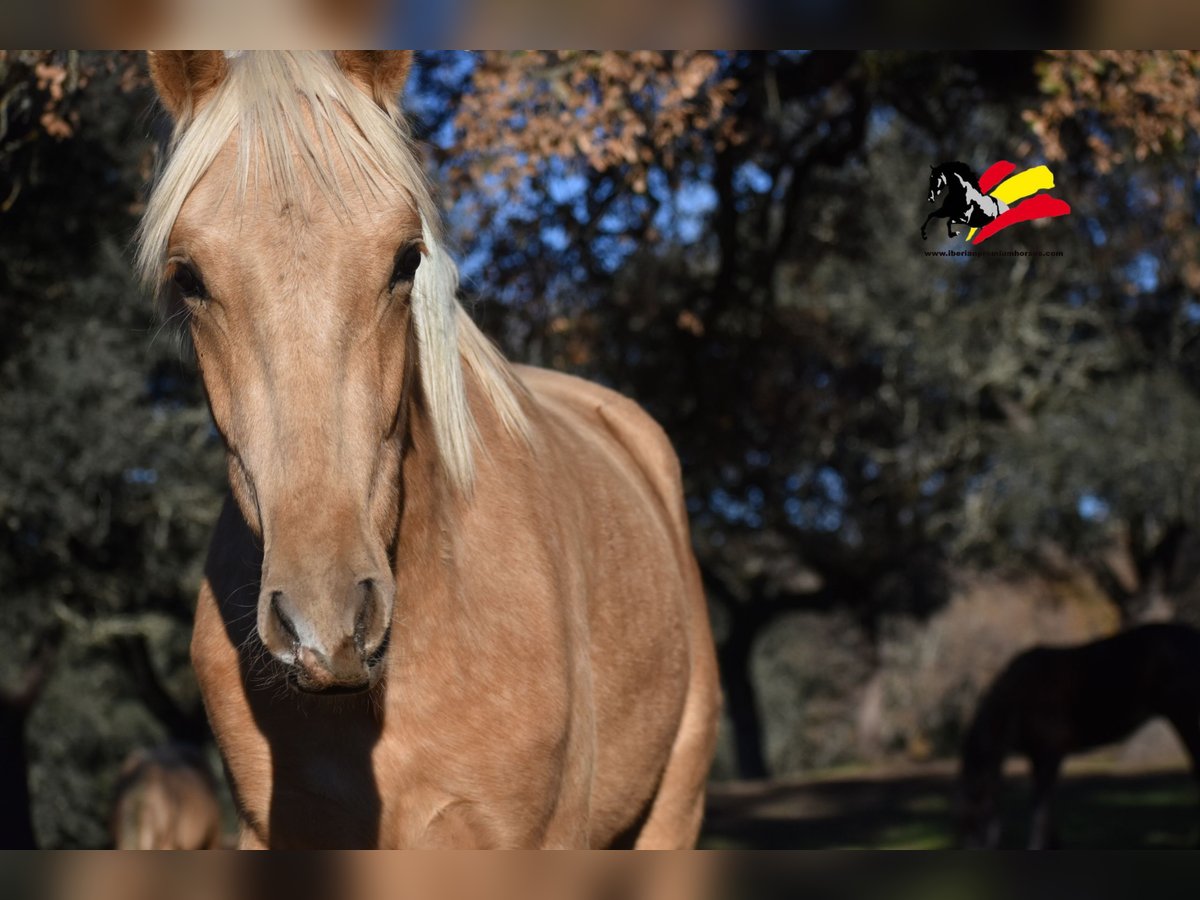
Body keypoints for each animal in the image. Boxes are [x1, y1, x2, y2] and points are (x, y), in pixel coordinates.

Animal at [955, 624, 1200, 849]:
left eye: (973, 812)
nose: (969, 848)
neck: (1015, 702)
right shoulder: (1038, 757)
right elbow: (1046, 804)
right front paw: (1054, 843)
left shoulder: (1049, 752)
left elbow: (1039, 806)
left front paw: (1038, 844)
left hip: (1185, 715)